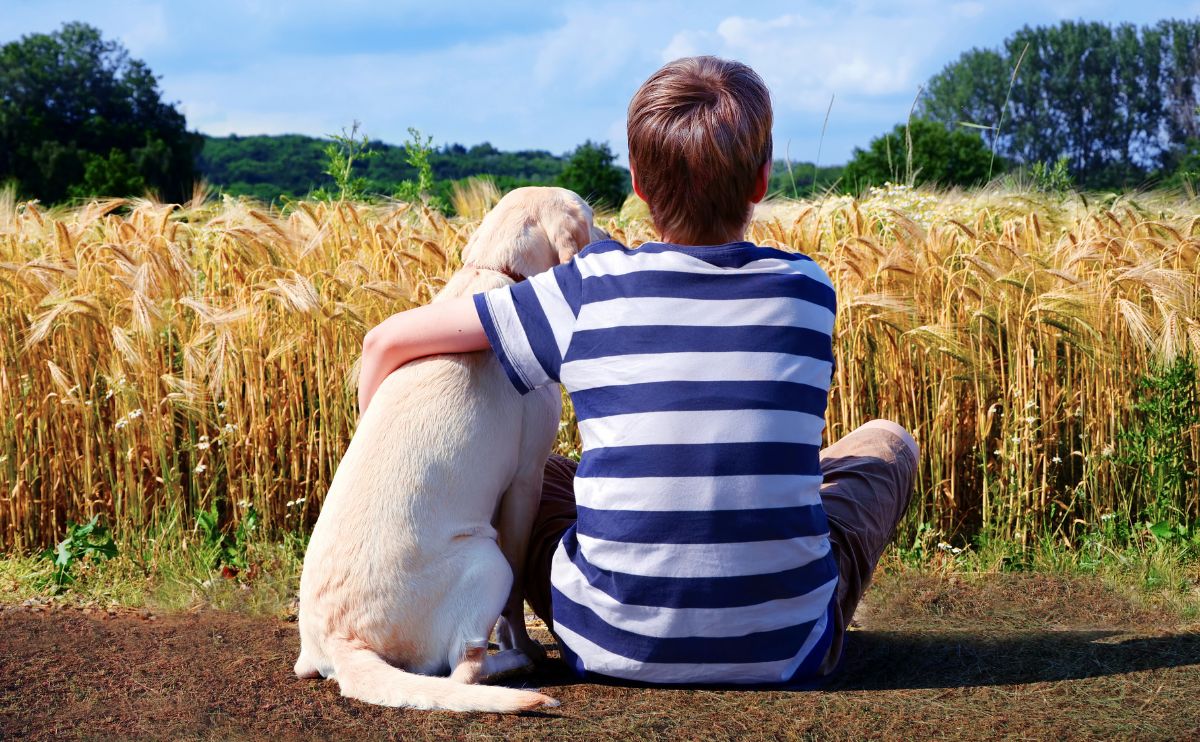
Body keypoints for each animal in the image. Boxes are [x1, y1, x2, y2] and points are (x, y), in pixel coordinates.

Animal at [297, 186, 597, 710]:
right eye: (591, 216)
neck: (497, 271)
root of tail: (341, 642)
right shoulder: (526, 479)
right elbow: (516, 595)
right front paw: (522, 642)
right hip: (486, 557)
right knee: (465, 670)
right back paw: (515, 665)